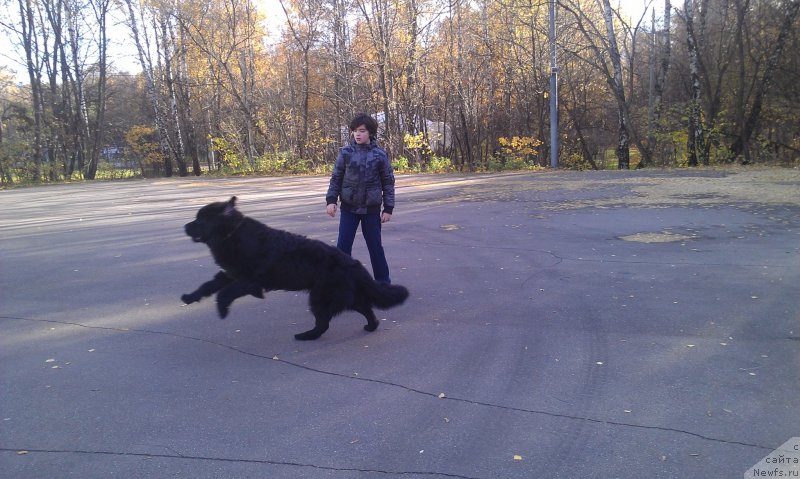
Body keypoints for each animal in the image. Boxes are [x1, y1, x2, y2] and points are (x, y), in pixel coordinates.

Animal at [180, 198, 406, 342]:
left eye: (200, 219)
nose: (184, 227)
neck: (232, 233)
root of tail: (352, 262)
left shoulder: (251, 280)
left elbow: (225, 292)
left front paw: (222, 308)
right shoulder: (231, 273)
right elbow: (209, 285)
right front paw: (190, 297)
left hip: (321, 296)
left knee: (324, 323)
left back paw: (306, 336)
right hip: (340, 295)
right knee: (365, 308)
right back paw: (371, 325)